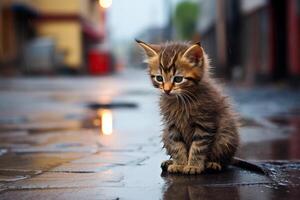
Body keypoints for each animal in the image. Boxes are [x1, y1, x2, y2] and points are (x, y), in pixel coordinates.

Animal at [137, 39, 264, 174]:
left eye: (178, 79)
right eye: (159, 78)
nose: (166, 90)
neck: (181, 100)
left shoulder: (205, 124)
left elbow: (198, 146)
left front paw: (193, 166)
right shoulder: (172, 126)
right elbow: (177, 145)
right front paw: (180, 164)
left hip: (226, 135)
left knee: (225, 161)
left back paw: (213, 163)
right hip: (165, 134)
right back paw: (169, 162)